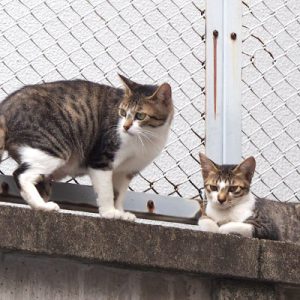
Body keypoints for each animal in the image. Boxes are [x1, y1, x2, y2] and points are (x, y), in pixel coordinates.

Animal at [0, 75, 173, 220]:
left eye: (140, 116)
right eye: (123, 112)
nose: (125, 127)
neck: (148, 138)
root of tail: (6, 106)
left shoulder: (126, 171)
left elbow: (119, 194)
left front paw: (121, 213)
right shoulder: (101, 160)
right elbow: (107, 191)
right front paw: (109, 212)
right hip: (53, 147)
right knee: (21, 174)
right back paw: (42, 206)